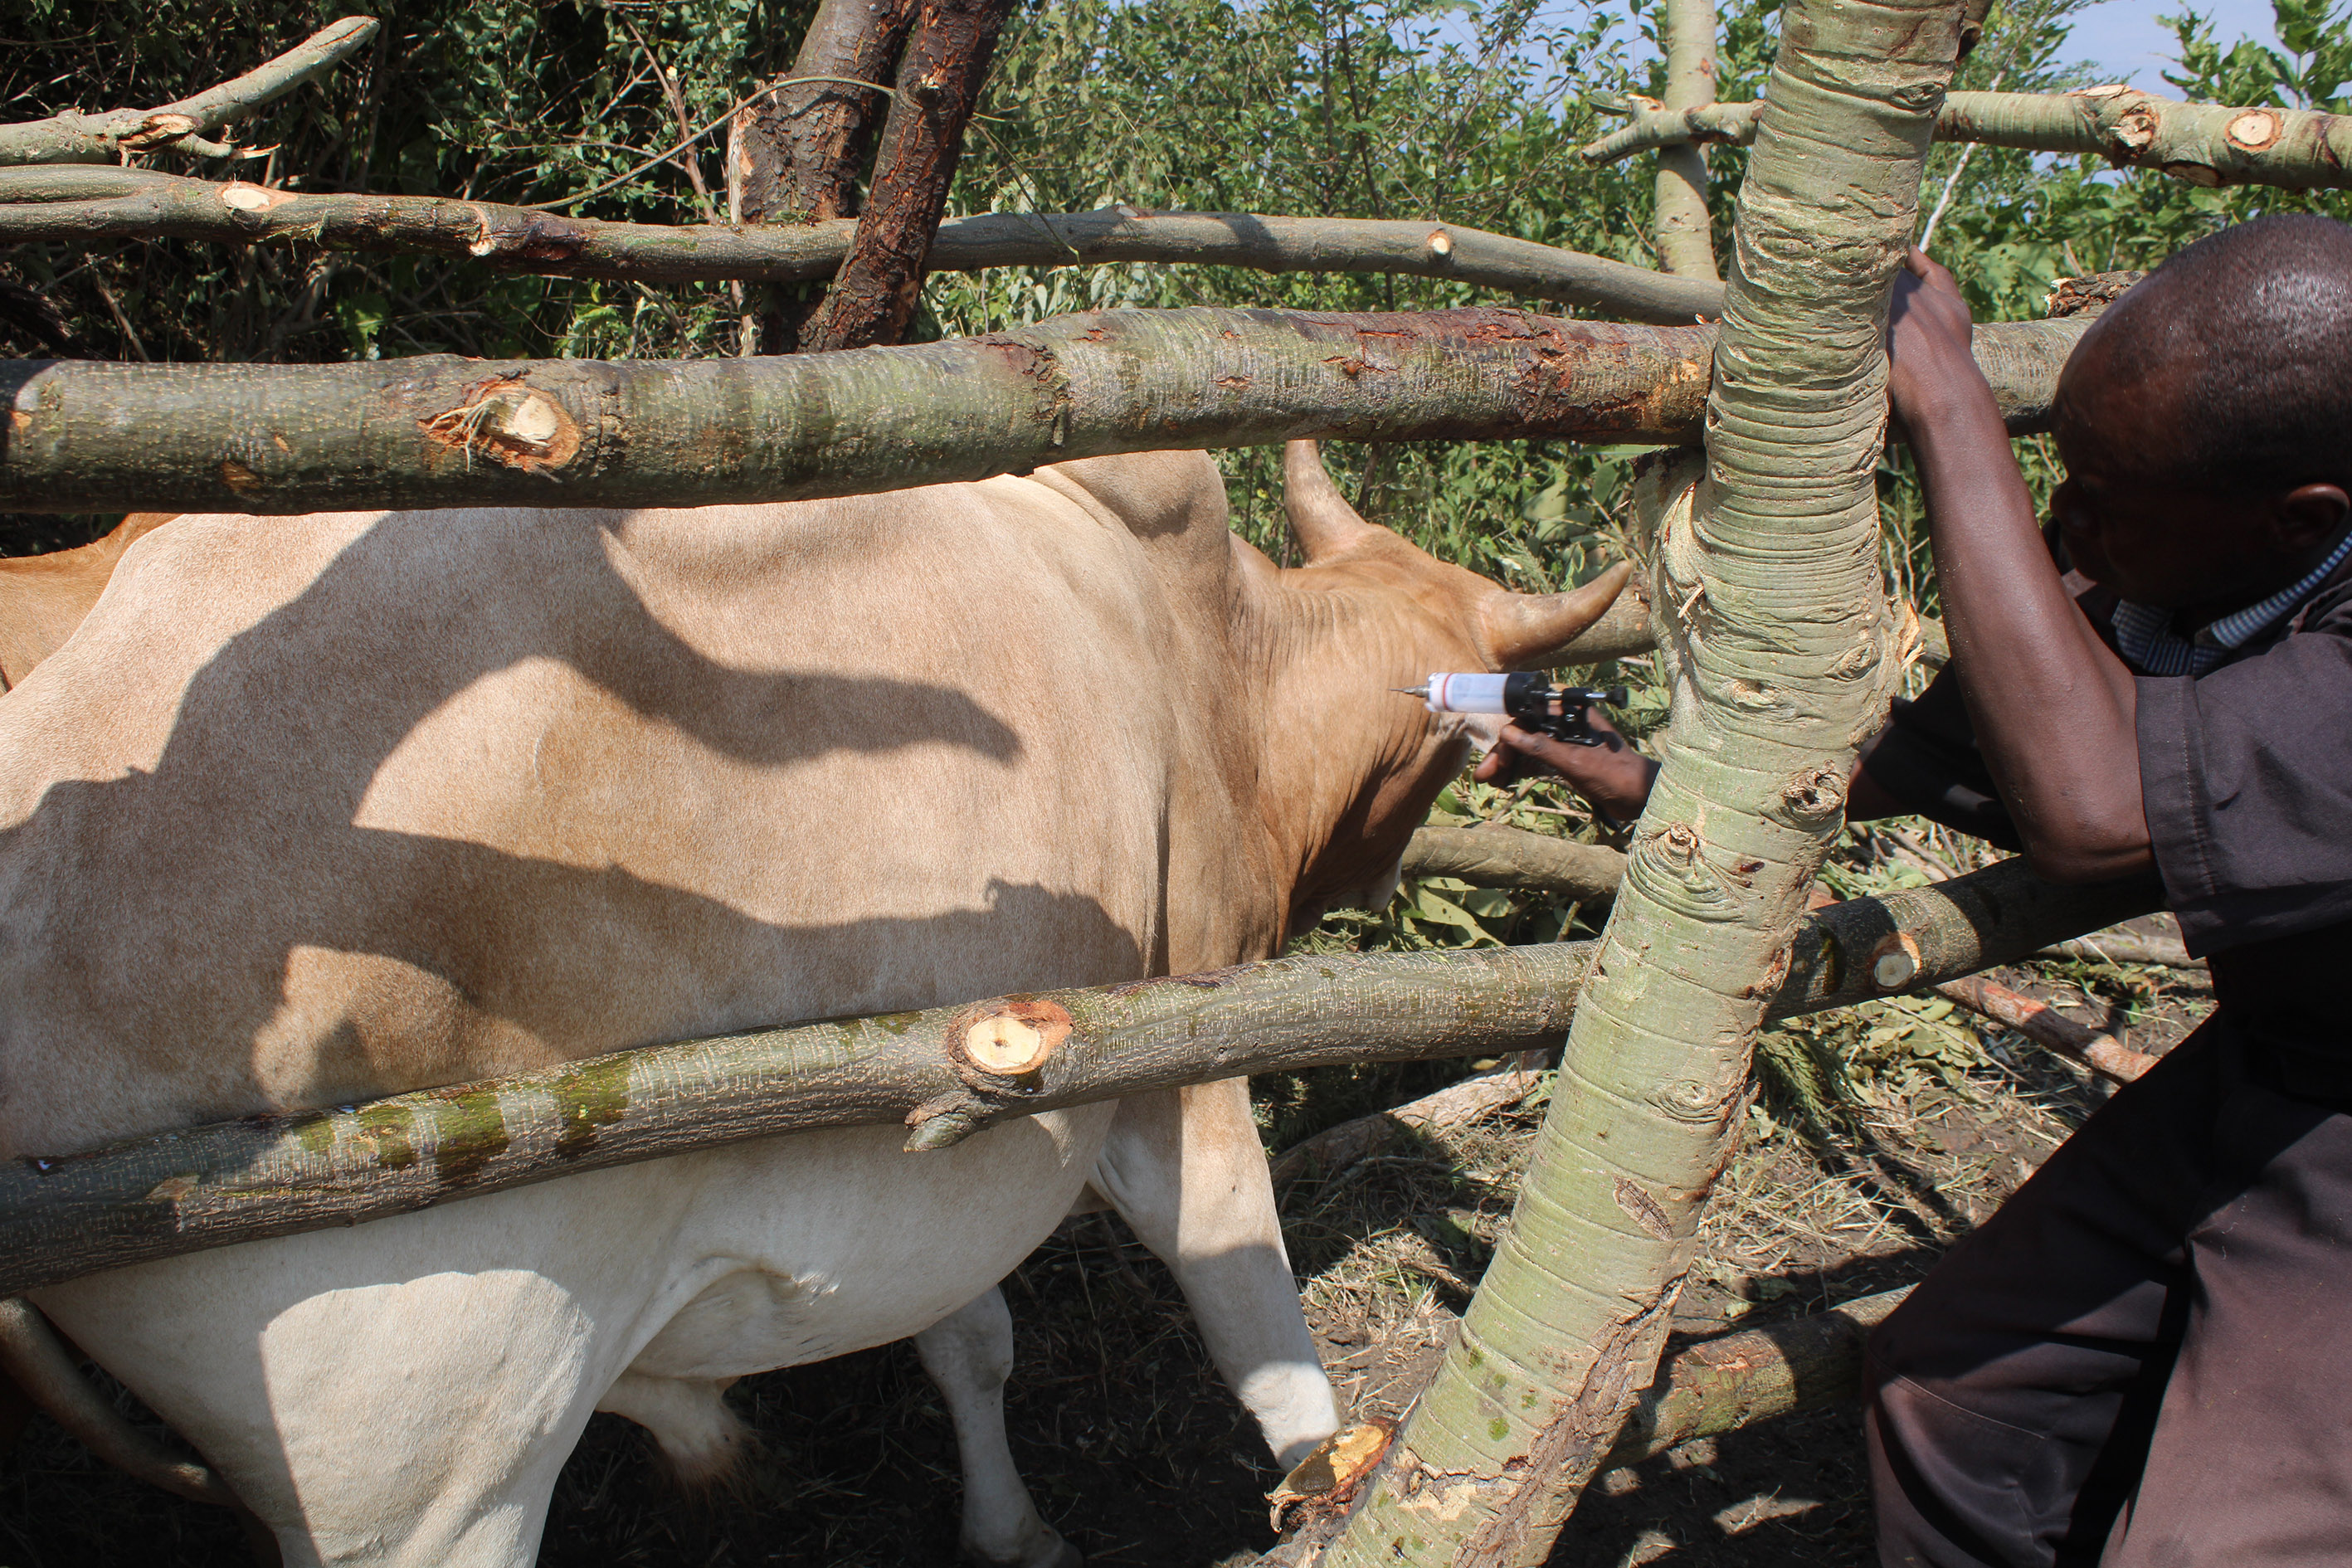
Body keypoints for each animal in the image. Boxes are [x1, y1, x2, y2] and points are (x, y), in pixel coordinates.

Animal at [0, 444, 1627, 1568]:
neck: (1212, 662)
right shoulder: (1173, 1051)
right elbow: (1254, 1316)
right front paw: (1325, 1473)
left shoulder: (936, 1099)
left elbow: (968, 1337)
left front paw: (1008, 1526)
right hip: (430, 1473)